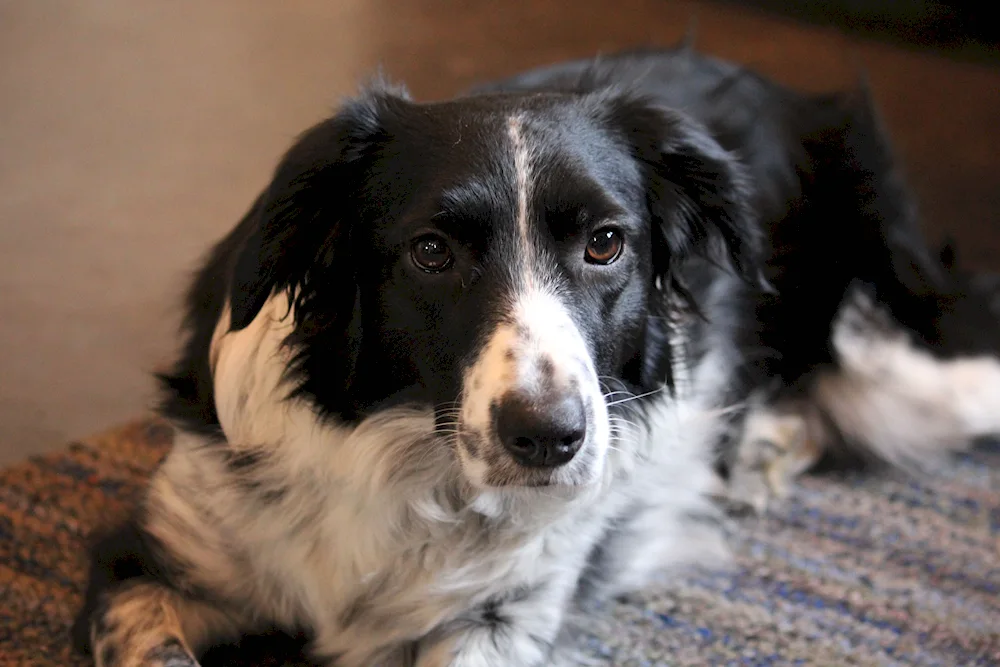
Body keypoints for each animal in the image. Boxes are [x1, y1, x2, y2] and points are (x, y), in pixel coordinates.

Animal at [72, 44, 1000, 664]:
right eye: (432, 252)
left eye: (605, 243)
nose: (549, 437)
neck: (407, 462)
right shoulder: (150, 561)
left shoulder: (500, 619)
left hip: (910, 362)